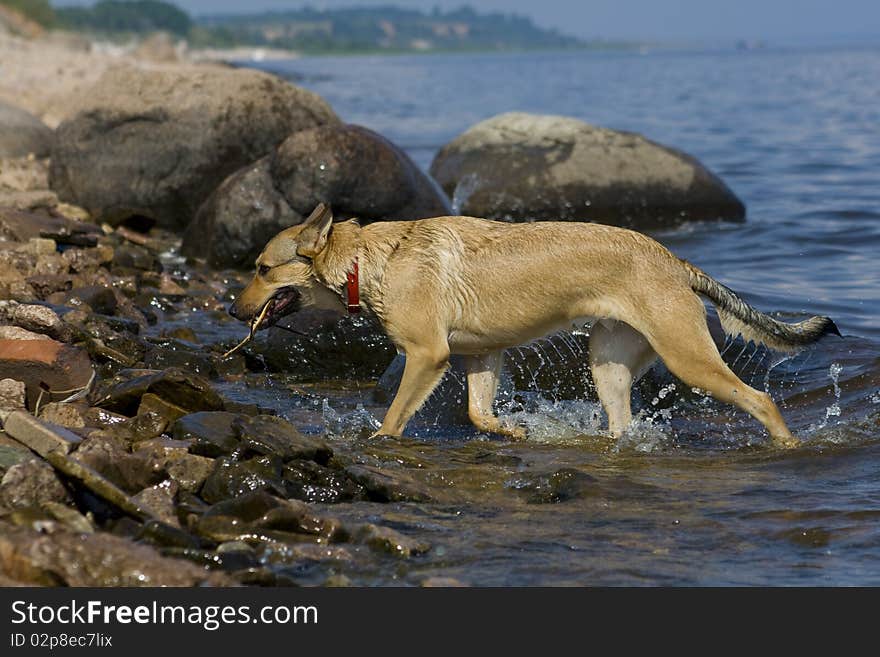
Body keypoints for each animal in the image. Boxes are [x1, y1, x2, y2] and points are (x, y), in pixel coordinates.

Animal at [229, 204, 840, 446]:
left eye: (261, 270)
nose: (234, 312)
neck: (369, 261)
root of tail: (673, 261)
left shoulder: (428, 356)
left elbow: (394, 419)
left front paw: (379, 443)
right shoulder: (481, 355)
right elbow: (478, 413)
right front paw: (513, 432)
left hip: (689, 359)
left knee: (763, 399)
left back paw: (787, 445)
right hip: (607, 361)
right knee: (620, 425)